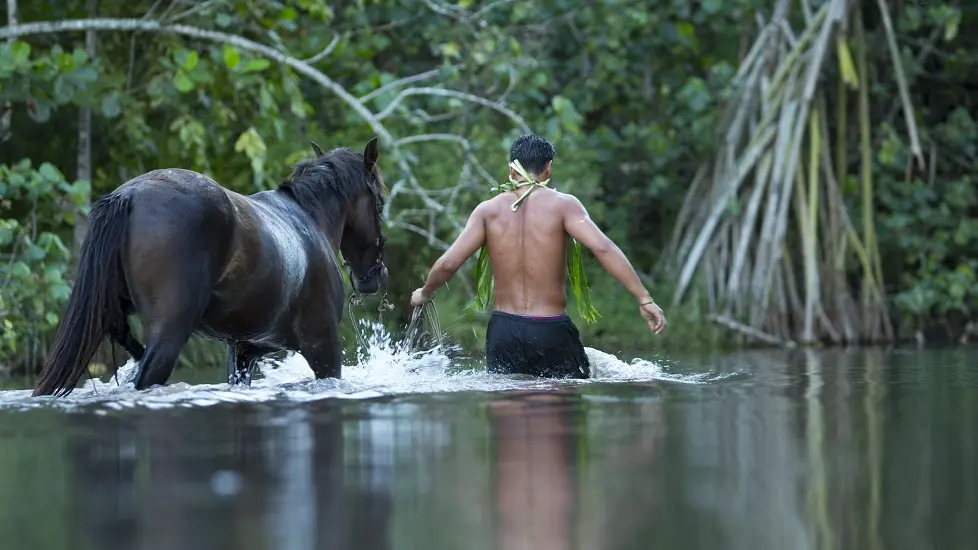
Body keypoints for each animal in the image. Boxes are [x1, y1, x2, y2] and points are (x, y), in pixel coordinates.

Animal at [32, 137, 386, 396]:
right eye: (380, 202)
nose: (375, 277)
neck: (310, 220)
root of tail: (129, 195)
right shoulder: (323, 346)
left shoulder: (244, 351)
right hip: (170, 333)